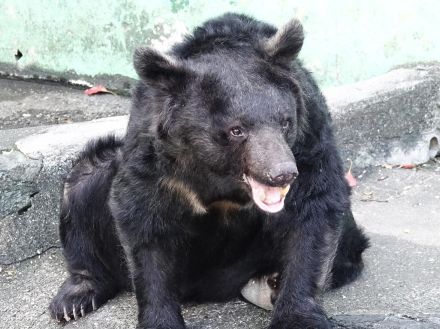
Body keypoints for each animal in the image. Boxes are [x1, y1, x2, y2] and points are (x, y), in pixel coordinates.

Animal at [49, 12, 370, 328]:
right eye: (236, 130)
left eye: (285, 122)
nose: (282, 174)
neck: (222, 177)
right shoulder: (154, 152)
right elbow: (143, 219)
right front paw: (160, 319)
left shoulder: (309, 137)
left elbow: (313, 208)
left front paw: (298, 316)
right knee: (82, 185)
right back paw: (74, 299)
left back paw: (270, 283)